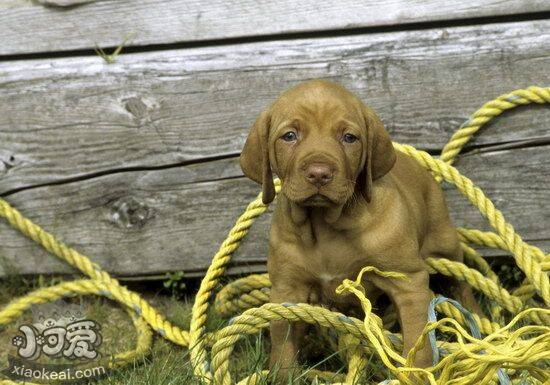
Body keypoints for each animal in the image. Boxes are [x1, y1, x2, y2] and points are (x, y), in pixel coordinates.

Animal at [239, 79, 480, 372]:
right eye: (289, 136)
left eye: (349, 138)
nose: (319, 173)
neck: (326, 226)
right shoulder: (287, 288)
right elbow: (283, 342)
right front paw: (282, 374)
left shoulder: (408, 282)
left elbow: (418, 344)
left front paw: (417, 374)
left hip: (446, 245)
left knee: (462, 285)